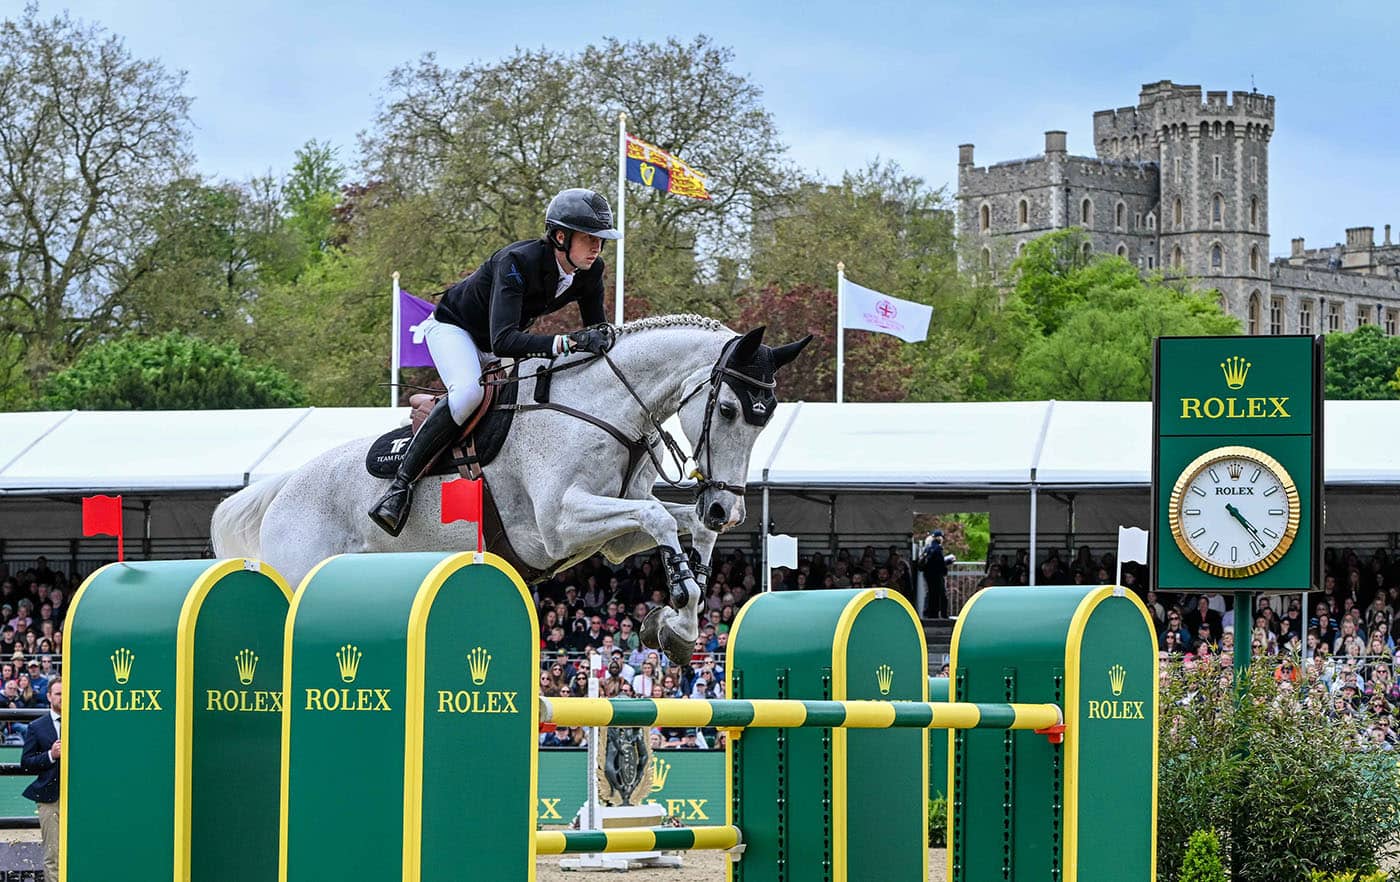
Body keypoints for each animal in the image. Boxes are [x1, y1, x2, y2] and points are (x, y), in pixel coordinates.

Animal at [212, 316, 817, 663]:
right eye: (729, 409)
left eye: (768, 416)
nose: (724, 508)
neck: (604, 408)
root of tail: (283, 488)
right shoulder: (559, 525)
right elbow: (662, 519)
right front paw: (679, 610)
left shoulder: (613, 535)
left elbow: (677, 529)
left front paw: (678, 625)